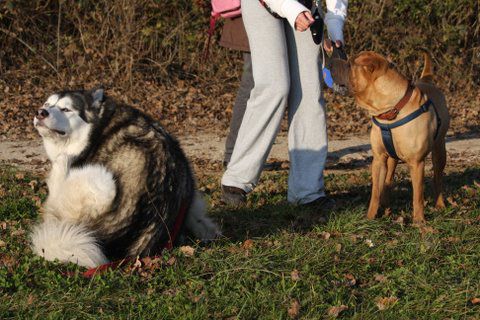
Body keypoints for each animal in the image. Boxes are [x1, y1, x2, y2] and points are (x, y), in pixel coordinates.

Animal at [334, 52, 450, 222]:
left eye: (349, 64)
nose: (330, 62)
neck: (390, 111)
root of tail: (426, 80)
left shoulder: (416, 163)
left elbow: (418, 196)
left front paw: (419, 221)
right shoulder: (378, 159)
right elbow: (375, 192)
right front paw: (370, 217)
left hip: (439, 150)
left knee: (438, 178)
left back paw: (440, 204)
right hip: (391, 158)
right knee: (388, 181)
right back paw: (386, 207)